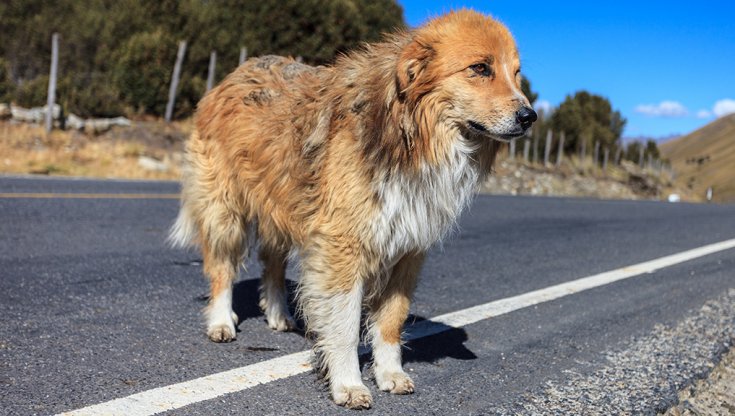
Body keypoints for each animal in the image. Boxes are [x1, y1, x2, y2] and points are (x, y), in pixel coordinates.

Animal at [174, 9, 540, 410]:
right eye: (480, 68)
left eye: (516, 73)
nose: (530, 116)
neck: (409, 135)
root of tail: (240, 70)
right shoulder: (342, 247)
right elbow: (346, 324)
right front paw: (348, 383)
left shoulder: (408, 249)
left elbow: (392, 320)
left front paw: (390, 373)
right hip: (225, 210)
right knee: (222, 267)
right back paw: (221, 321)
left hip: (283, 207)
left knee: (272, 262)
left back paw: (279, 314)